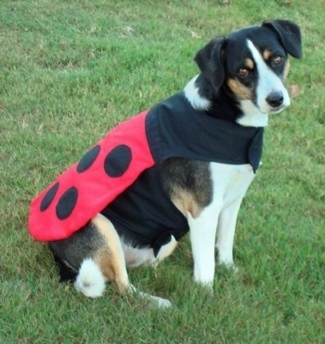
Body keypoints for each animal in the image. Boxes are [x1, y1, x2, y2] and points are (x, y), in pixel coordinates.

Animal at [27, 19, 302, 310]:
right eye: (243, 71)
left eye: (277, 59)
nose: (276, 99)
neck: (227, 118)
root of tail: (56, 255)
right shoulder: (203, 210)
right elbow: (206, 268)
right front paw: (207, 300)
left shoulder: (233, 199)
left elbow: (225, 245)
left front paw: (230, 272)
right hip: (102, 227)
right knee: (123, 286)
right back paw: (158, 302)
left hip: (162, 242)